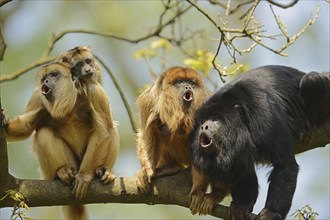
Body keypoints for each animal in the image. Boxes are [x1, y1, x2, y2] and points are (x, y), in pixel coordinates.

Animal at [1, 62, 118, 220]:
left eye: (54, 75)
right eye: (43, 78)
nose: (45, 81)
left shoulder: (95, 92)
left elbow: (103, 131)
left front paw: (84, 176)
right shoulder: (37, 97)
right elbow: (26, 127)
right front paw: (3, 118)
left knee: (112, 129)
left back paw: (105, 171)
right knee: (43, 133)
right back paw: (61, 171)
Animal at [188, 65, 330, 220]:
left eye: (217, 120)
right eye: (203, 121)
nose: (204, 126)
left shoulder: (266, 116)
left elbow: (285, 165)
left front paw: (271, 212)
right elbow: (240, 170)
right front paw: (242, 205)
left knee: (312, 79)